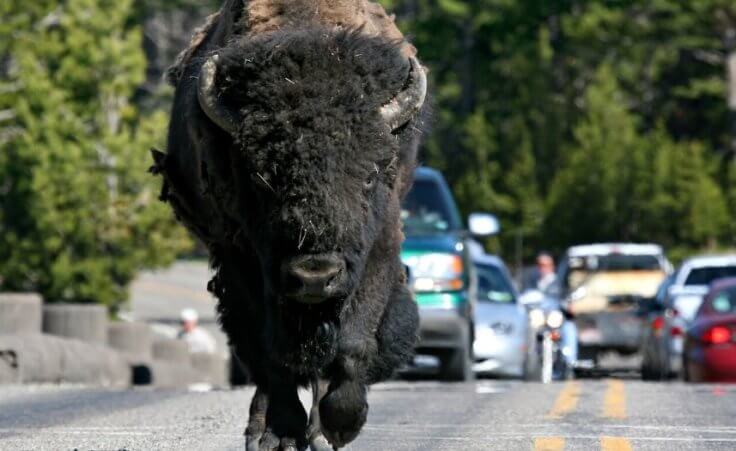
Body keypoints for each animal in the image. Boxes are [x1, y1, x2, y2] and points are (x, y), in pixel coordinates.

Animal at [155, 1, 428, 450]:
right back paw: (265, 430)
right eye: (261, 178)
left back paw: (318, 431)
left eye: (369, 176)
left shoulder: (378, 248)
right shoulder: (240, 259)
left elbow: (352, 341)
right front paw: (281, 432)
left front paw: (341, 423)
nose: (315, 275)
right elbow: (271, 353)